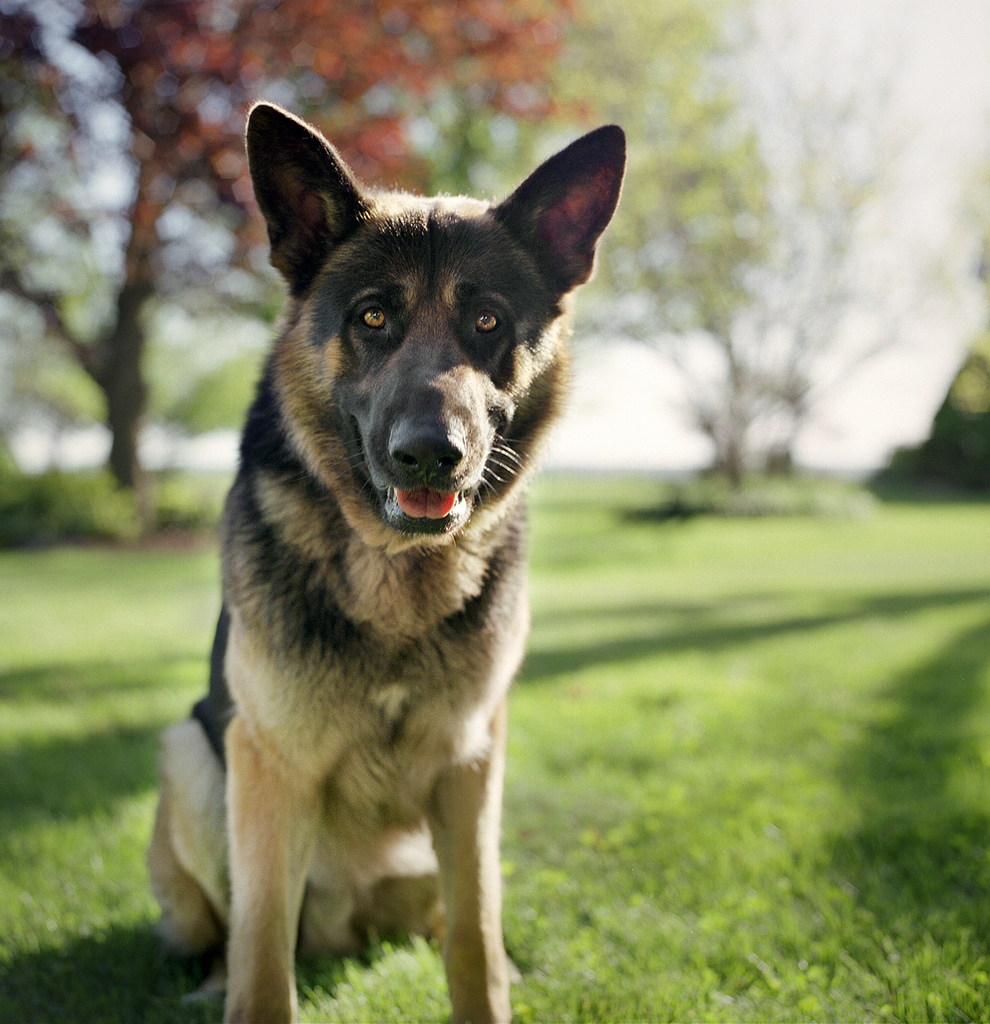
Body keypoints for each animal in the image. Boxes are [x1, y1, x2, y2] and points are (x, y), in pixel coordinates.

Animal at [145, 97, 626, 1024]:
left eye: (487, 322)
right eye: (372, 317)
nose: (430, 455)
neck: (396, 573)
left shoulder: (472, 767)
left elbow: (475, 937)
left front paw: (493, 985)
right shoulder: (269, 770)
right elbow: (262, 956)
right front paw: (246, 984)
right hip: (191, 756)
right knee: (226, 933)